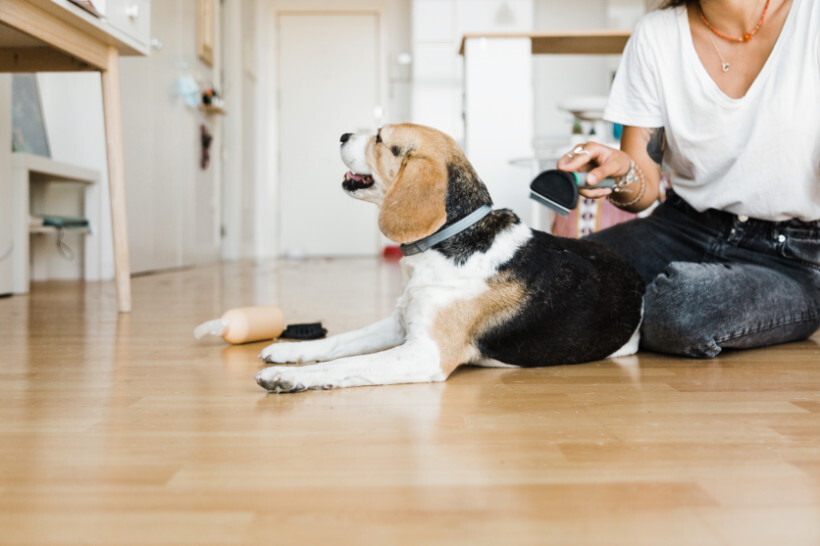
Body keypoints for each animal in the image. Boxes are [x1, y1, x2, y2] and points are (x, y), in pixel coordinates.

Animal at [256, 124, 648, 392]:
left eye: (380, 138)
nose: (342, 135)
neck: (447, 242)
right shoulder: (400, 324)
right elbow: (340, 342)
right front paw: (287, 352)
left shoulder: (425, 353)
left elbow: (347, 364)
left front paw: (287, 377)